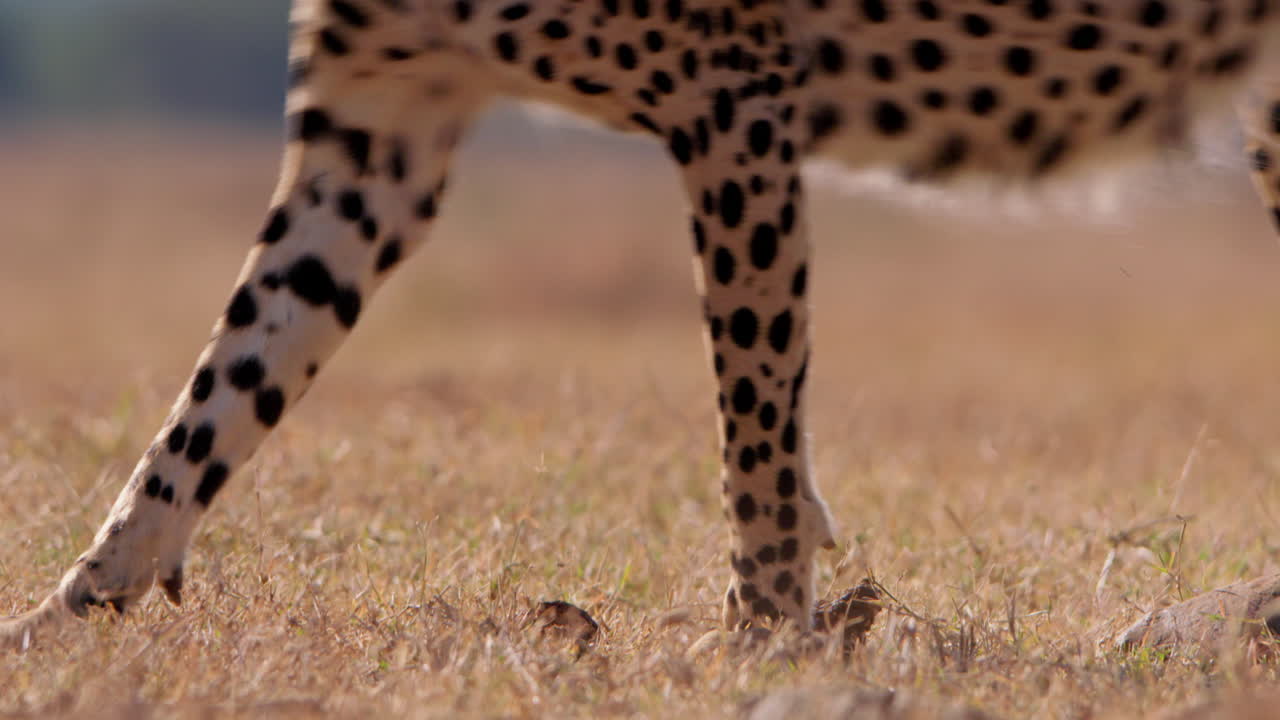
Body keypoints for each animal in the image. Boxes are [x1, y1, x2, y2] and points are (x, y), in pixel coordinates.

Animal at [5, 0, 1280, 643]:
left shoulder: (734, 100)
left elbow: (756, 430)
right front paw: (66, 620)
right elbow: (222, 391)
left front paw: (767, 645)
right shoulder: (375, 138)